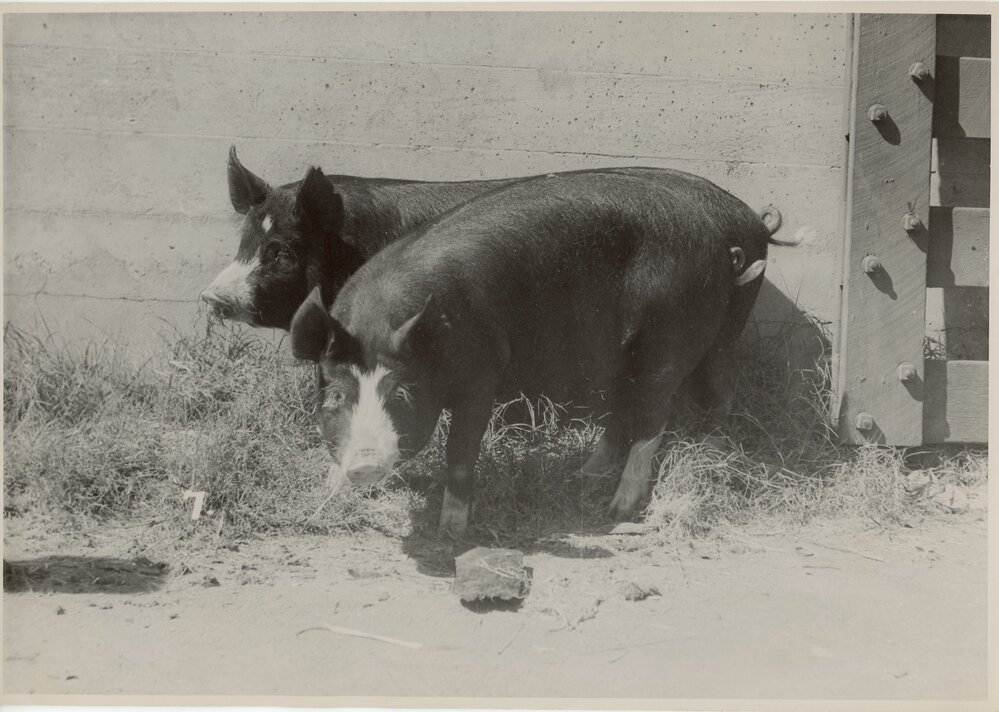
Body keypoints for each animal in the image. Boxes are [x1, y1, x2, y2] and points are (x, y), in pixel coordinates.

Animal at [290, 167, 782, 538]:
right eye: (336, 396)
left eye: (402, 395)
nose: (364, 466)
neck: (381, 320)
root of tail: (721, 249)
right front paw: (336, 489)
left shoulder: (482, 372)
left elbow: (461, 452)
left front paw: (450, 534)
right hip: (628, 351)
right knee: (629, 406)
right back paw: (584, 474)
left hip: (669, 340)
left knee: (654, 416)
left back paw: (617, 509)